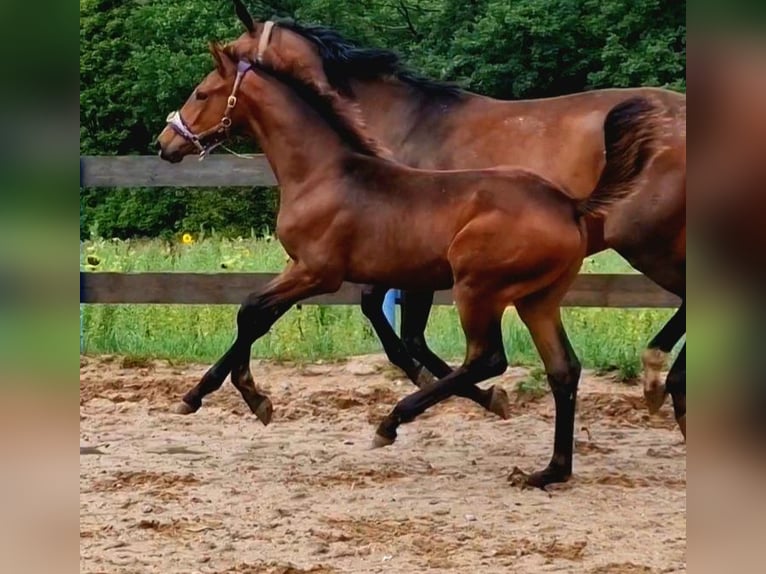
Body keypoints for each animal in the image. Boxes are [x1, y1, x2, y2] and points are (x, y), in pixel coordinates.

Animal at [159, 42, 668, 488]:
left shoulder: (316, 272)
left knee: (488, 358)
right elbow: (257, 317)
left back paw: (393, 421)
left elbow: (249, 311)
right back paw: (548, 472)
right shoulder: (304, 270)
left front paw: (244, 398)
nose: (166, 143)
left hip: (477, 288)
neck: (324, 173)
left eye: (201, 93)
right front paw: (213, 396)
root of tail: (571, 205)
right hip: (537, 299)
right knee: (563, 369)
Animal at [225, 2, 688, 438]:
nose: (197, 135)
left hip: (647, 242)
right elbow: (388, 322)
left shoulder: (405, 261)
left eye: (230, 56)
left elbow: (401, 332)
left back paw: (657, 377)